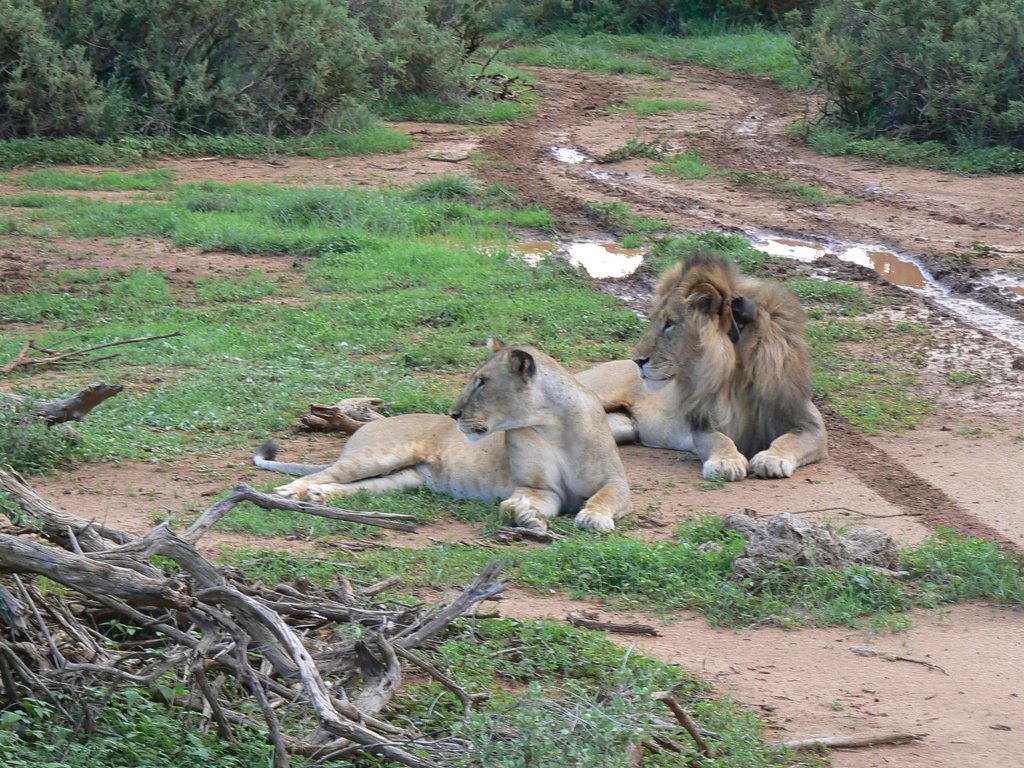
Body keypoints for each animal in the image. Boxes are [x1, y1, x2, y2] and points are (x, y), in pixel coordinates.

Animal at [250, 339, 626, 532]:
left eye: (482, 382)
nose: (453, 414)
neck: (548, 426)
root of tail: (369, 424)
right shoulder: (537, 488)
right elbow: (518, 502)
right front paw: (523, 515)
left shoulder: (615, 481)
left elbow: (606, 496)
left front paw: (592, 517)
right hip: (380, 454)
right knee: (327, 473)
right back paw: (291, 491)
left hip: (405, 478)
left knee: (355, 487)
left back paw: (319, 496)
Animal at [581, 252, 827, 481]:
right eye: (653, 320)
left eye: (669, 324)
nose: (638, 360)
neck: (738, 378)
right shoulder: (701, 424)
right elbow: (720, 439)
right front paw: (726, 462)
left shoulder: (811, 425)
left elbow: (790, 440)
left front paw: (771, 458)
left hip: (620, 426)